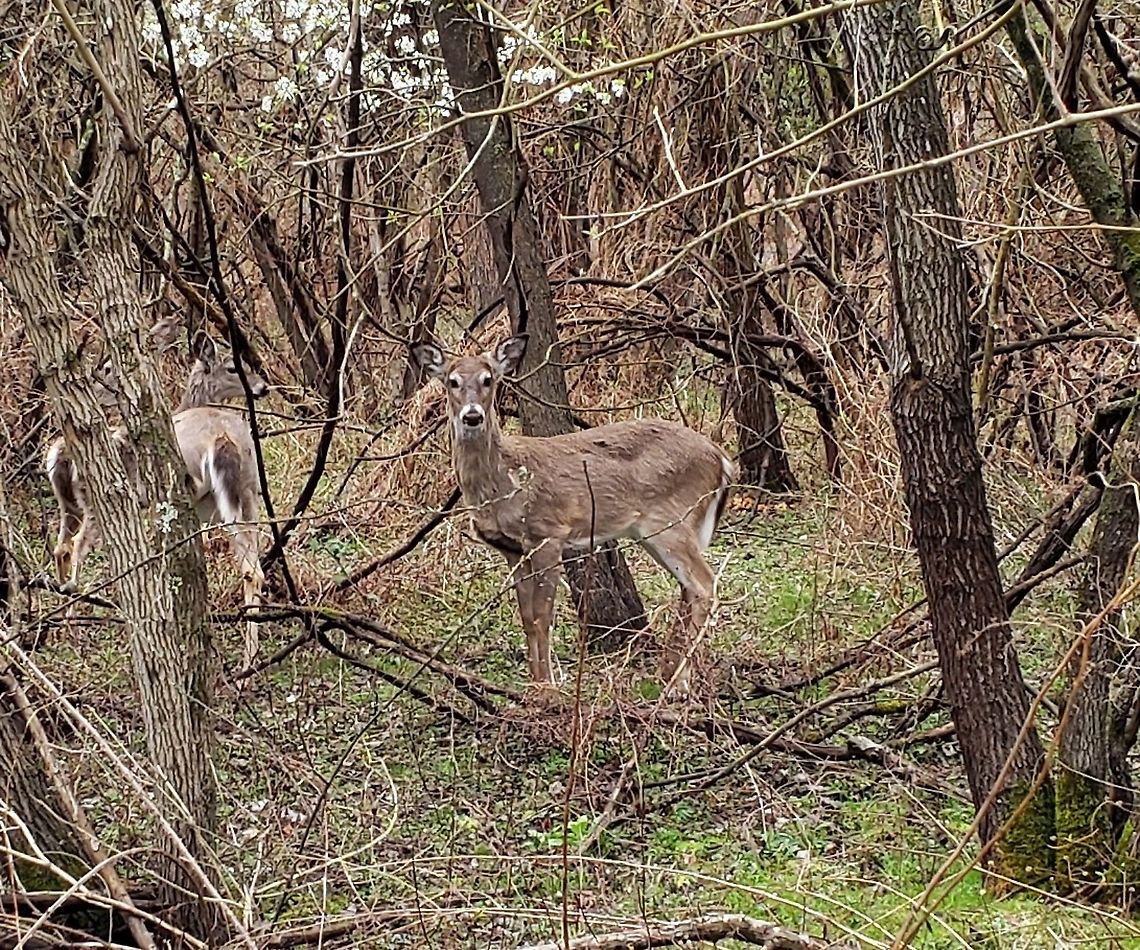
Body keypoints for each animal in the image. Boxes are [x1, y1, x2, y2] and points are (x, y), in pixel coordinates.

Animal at [412, 334, 735, 699]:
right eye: (452, 381)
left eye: (488, 379)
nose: (472, 416)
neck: (503, 483)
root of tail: (722, 458)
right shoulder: (512, 550)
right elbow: (527, 618)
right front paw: (534, 687)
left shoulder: (548, 534)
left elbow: (543, 615)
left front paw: (548, 689)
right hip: (658, 530)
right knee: (689, 588)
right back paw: (669, 675)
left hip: (671, 520)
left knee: (704, 584)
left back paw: (677, 684)